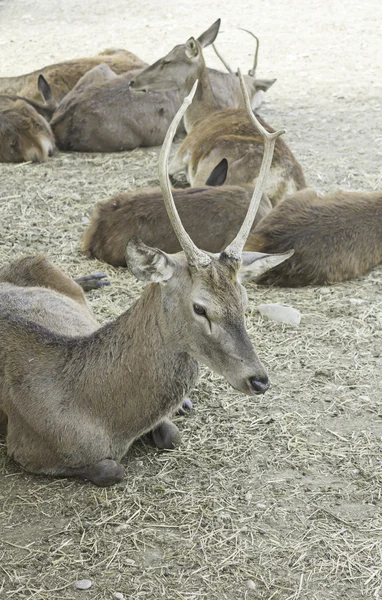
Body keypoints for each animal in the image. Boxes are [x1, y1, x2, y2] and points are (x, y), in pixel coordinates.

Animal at [0, 75, 292, 488]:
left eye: (245, 301)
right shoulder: (24, 446)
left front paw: (177, 411)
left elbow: (171, 435)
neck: (104, 417)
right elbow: (112, 469)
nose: (259, 380)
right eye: (200, 307)